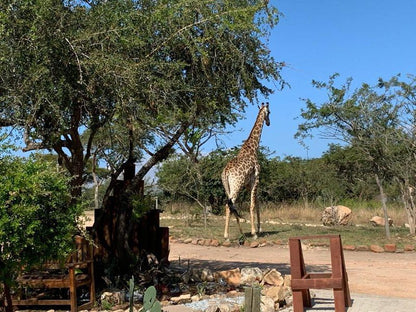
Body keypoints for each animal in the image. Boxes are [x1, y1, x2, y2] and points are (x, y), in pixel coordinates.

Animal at [221, 102, 270, 239]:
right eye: (269, 112)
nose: (268, 122)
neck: (253, 147)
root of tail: (225, 172)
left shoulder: (248, 183)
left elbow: (257, 202)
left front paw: (259, 229)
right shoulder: (256, 178)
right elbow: (252, 204)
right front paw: (254, 233)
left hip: (228, 187)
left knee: (231, 205)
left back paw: (241, 233)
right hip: (236, 185)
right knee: (229, 204)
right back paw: (226, 235)